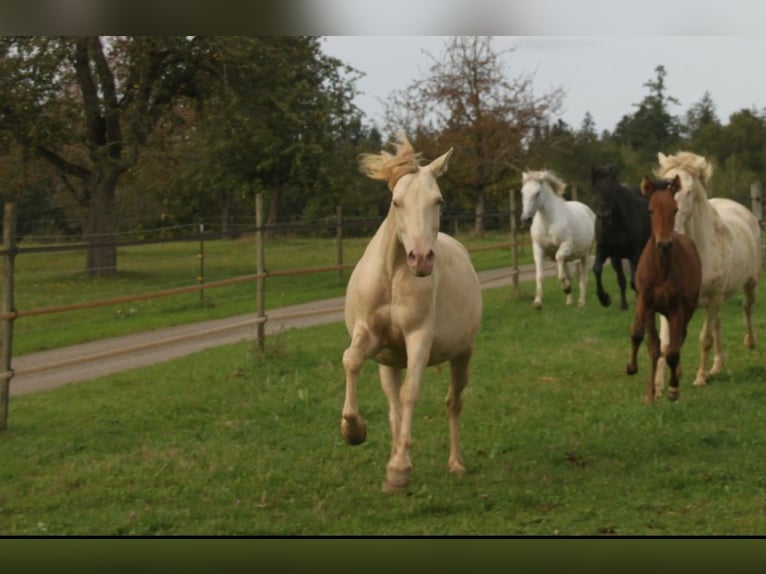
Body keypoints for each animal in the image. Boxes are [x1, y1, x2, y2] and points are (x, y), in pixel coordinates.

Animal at [340, 137, 484, 492]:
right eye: (396, 202)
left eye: (438, 200)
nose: (420, 258)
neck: (393, 276)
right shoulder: (368, 335)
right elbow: (351, 360)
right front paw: (353, 430)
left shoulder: (418, 338)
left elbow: (411, 394)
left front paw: (399, 470)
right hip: (389, 363)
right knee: (393, 407)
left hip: (462, 355)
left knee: (453, 403)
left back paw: (455, 464)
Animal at [520, 171, 600, 310]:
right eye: (522, 192)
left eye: (537, 193)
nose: (526, 219)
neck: (548, 223)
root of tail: (589, 211)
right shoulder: (538, 250)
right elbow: (540, 276)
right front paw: (537, 302)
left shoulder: (566, 246)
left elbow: (559, 261)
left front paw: (566, 288)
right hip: (568, 259)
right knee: (570, 275)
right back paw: (569, 301)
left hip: (585, 255)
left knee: (583, 278)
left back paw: (581, 302)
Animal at [592, 165, 652, 310]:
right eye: (596, 188)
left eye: (613, 190)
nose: (604, 215)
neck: (616, 226)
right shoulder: (610, 253)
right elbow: (599, 270)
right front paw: (606, 299)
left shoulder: (636, 252)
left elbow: (634, 280)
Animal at [628, 176, 704, 404]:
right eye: (650, 210)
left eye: (675, 209)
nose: (664, 244)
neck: (662, 269)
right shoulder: (645, 302)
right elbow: (642, 338)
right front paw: (637, 375)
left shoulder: (678, 309)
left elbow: (672, 351)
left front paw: (673, 389)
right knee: (659, 344)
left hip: (686, 309)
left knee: (679, 340)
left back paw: (675, 379)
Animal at [656, 152, 760, 392]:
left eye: (688, 191)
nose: (667, 236)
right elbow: (666, 343)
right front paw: (659, 386)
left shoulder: (714, 297)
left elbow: (705, 339)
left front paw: (700, 378)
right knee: (718, 324)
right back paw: (717, 365)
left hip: (749, 283)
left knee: (747, 307)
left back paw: (750, 342)